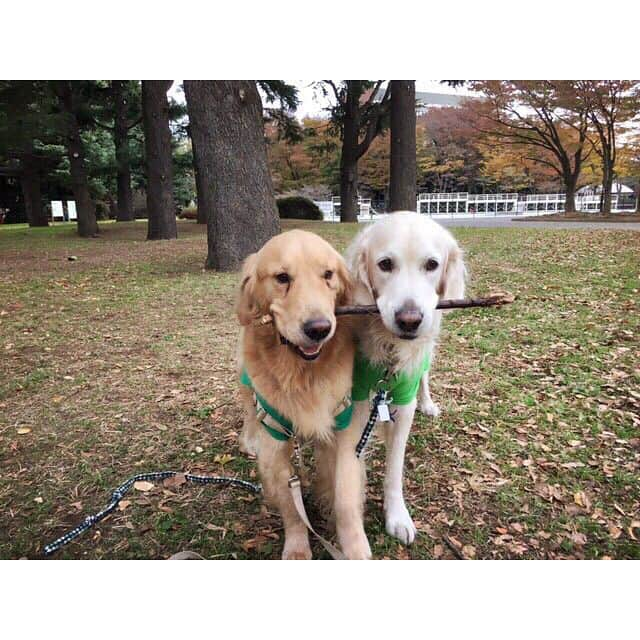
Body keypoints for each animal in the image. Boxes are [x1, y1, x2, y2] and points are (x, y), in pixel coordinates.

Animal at [238, 231, 372, 560]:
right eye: (282, 277)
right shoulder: (275, 438)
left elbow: (345, 495)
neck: (302, 372)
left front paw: (354, 546)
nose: (319, 329)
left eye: (328, 275)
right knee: (248, 408)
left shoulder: (344, 426)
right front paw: (298, 547)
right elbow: (291, 505)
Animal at [344, 212, 464, 544]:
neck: (389, 349)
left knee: (425, 376)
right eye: (385, 264)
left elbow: (394, 468)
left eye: (432, 264)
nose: (409, 321)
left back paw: (429, 403)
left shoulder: (404, 400)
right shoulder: (359, 395)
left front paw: (397, 516)